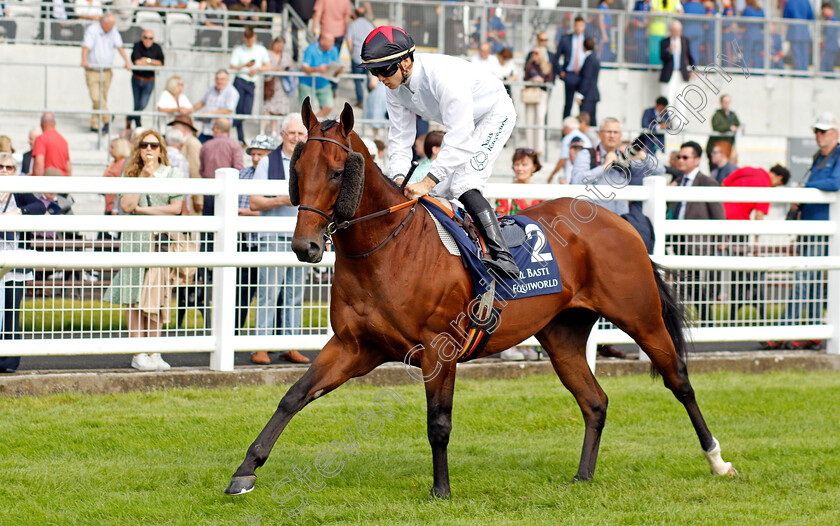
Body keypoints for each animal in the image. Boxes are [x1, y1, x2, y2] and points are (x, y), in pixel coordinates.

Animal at [225, 101, 736, 502]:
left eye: (336, 173)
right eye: (296, 169)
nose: (305, 246)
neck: (387, 247)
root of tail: (619, 222)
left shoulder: (438, 351)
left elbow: (439, 422)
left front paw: (441, 490)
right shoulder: (355, 346)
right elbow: (293, 397)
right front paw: (245, 471)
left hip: (640, 316)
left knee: (679, 380)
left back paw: (718, 460)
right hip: (563, 335)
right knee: (595, 401)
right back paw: (583, 477)